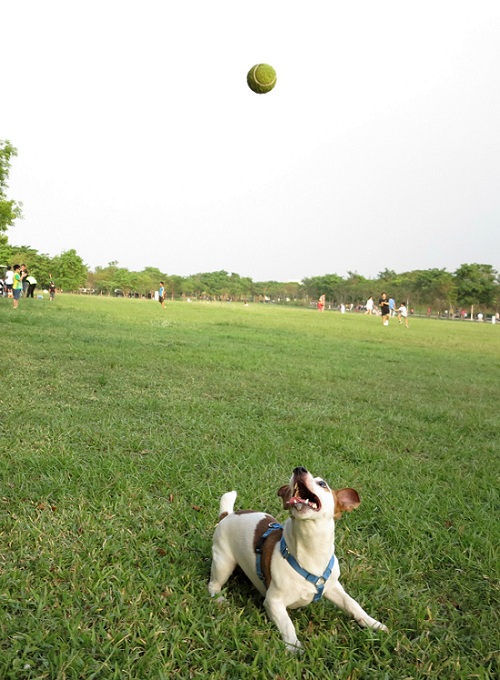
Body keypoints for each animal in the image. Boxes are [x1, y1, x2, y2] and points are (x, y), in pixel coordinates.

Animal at [207, 464, 386, 652]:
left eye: (322, 484)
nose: (299, 469)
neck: (310, 550)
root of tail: (228, 514)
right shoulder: (273, 602)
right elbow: (287, 624)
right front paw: (294, 648)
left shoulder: (332, 587)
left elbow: (351, 603)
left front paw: (372, 623)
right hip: (223, 563)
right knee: (213, 584)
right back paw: (219, 599)